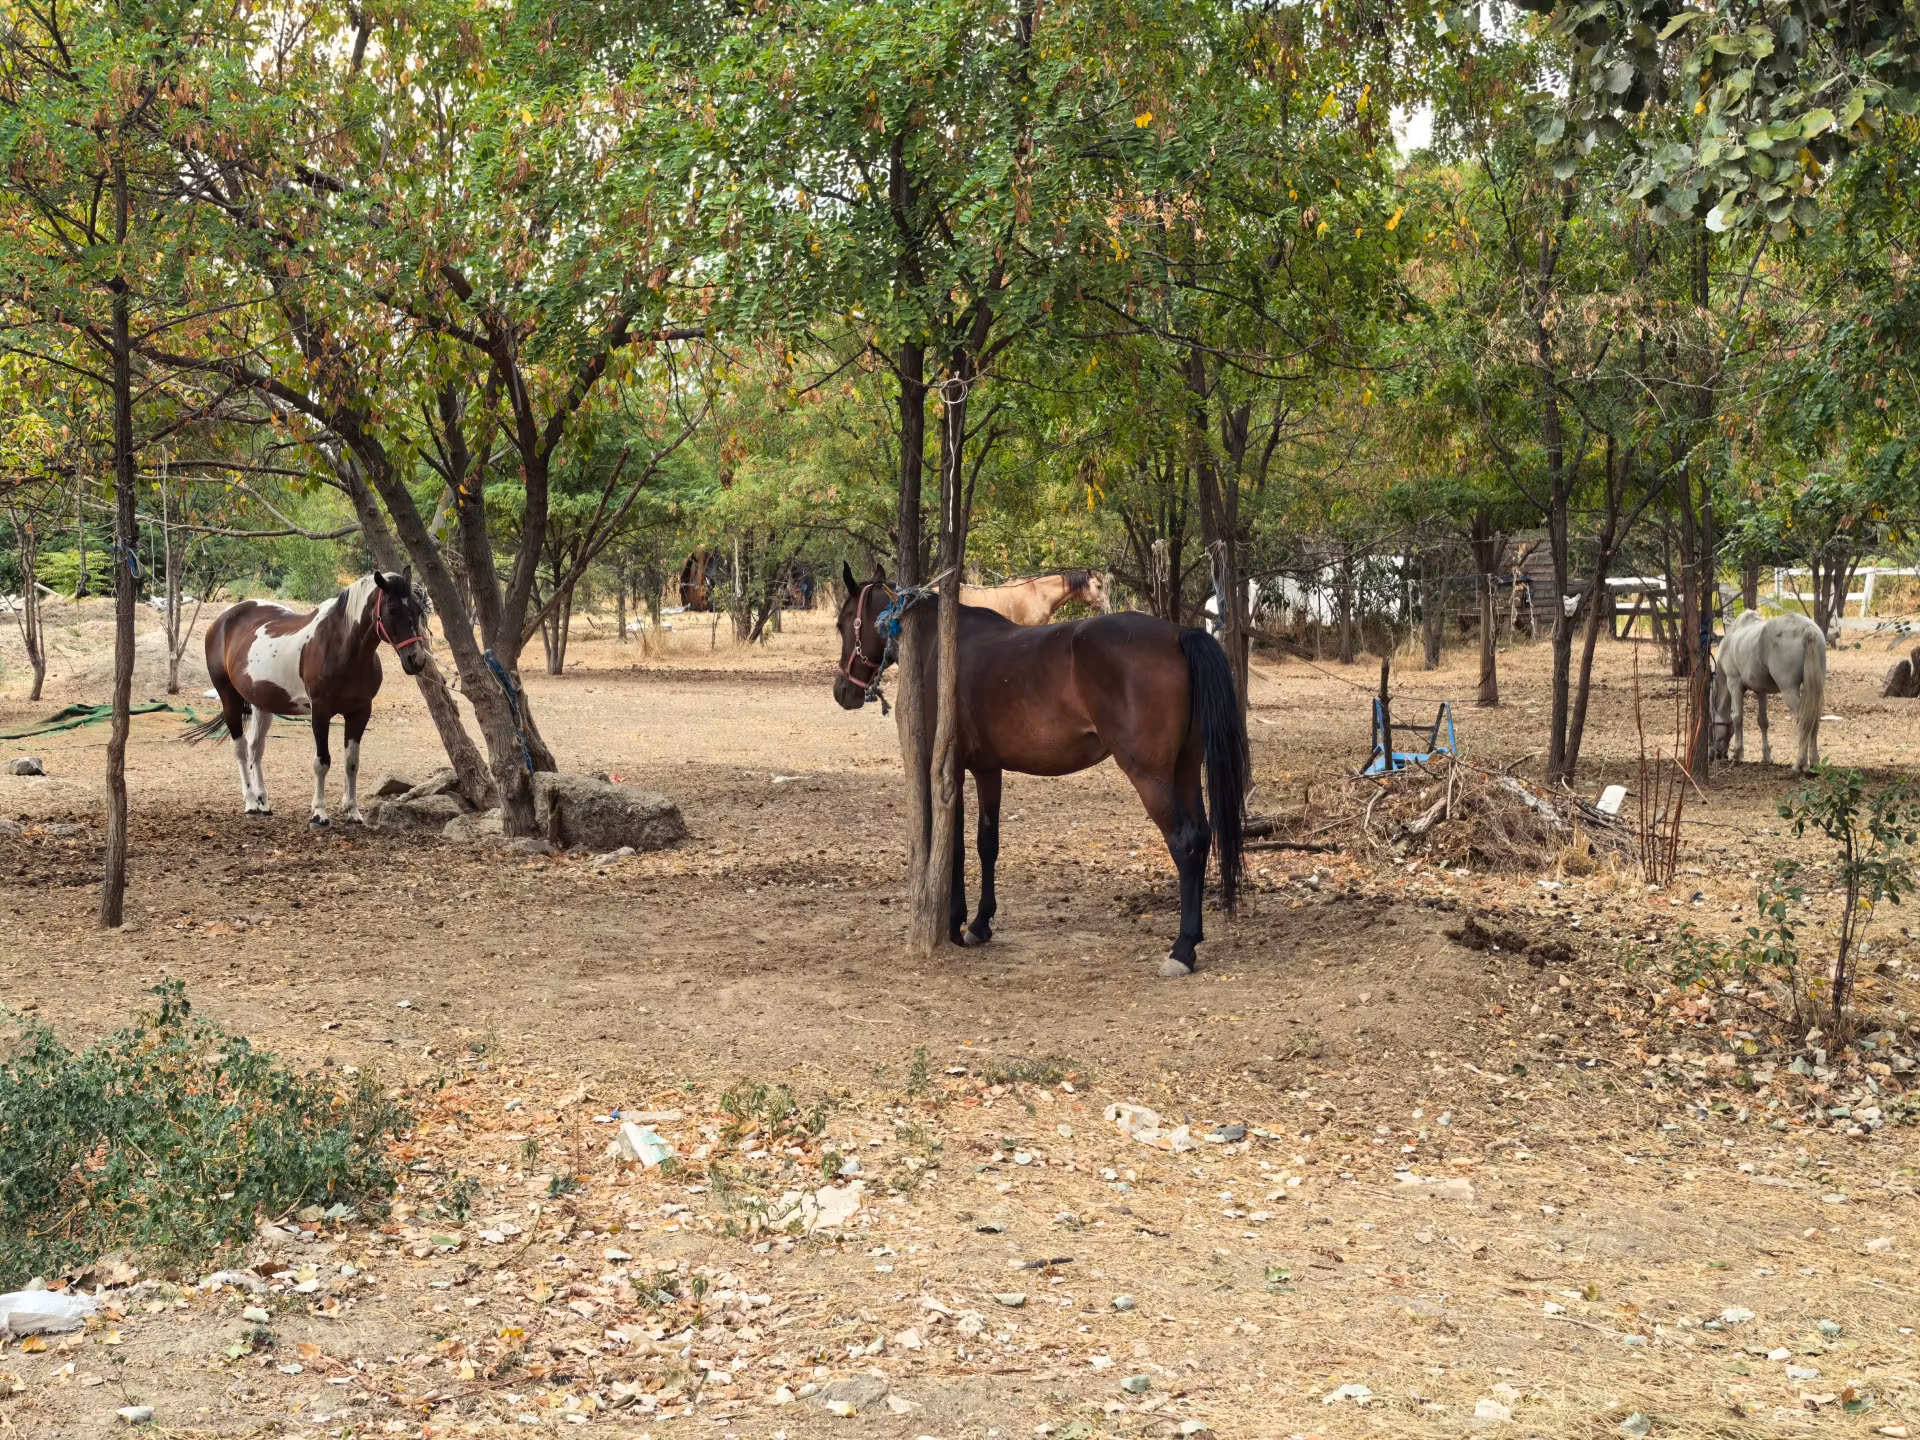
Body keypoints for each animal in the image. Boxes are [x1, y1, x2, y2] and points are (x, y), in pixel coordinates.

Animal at [203, 571, 431, 824]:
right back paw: (251, 802)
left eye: (418, 610)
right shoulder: (320, 712)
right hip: (229, 698)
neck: (342, 649)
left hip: (262, 704)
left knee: (256, 748)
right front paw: (319, 813)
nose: (416, 659)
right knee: (241, 749)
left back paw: (263, 802)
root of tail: (223, 620)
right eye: (392, 609)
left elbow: (352, 762)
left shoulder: (360, 712)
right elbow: (322, 762)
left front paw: (353, 812)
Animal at [1709, 609, 1827, 774]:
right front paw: (1766, 756)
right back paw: (1814, 761)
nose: (1713, 754)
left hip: (1789, 690)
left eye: (1711, 726)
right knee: (1813, 719)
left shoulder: (1734, 683)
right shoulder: (1761, 691)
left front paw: (1737, 754)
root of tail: (1807, 629)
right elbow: (1763, 722)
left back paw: (1799, 763)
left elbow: (1737, 717)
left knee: (1803, 719)